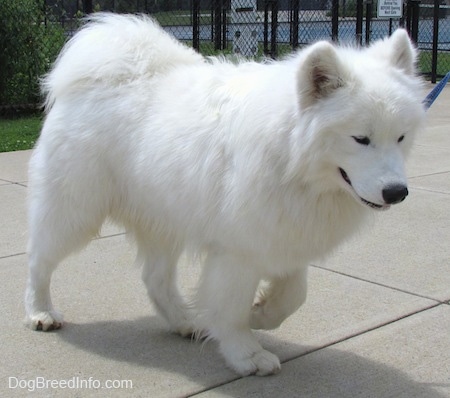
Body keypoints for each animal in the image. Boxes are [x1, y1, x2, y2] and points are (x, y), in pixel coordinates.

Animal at [24, 14, 426, 376]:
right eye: (361, 139)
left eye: (401, 137)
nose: (397, 192)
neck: (290, 159)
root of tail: (96, 74)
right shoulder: (238, 251)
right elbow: (231, 310)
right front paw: (247, 354)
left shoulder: (285, 235)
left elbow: (295, 293)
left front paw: (262, 313)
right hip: (75, 212)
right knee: (39, 260)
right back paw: (41, 312)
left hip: (164, 217)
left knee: (156, 279)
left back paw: (185, 321)